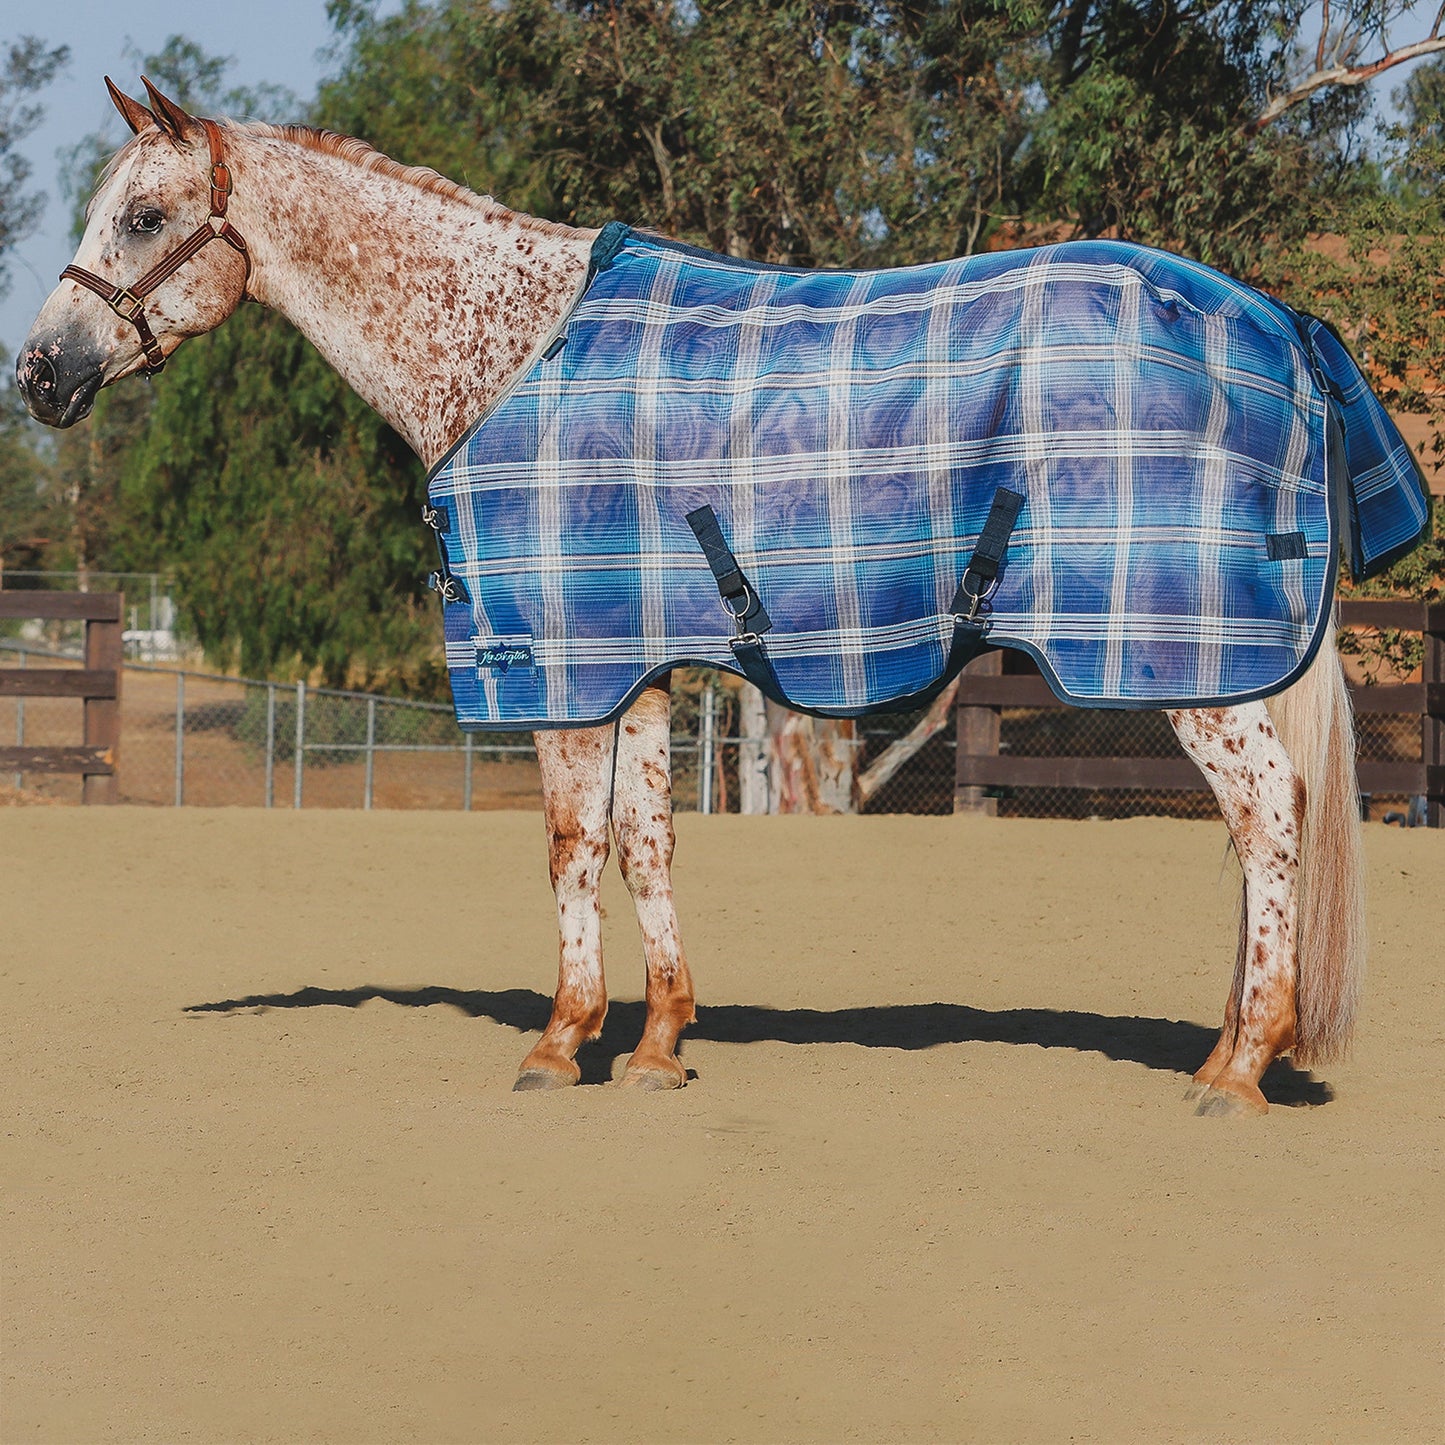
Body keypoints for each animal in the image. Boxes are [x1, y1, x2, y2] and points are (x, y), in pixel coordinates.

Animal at [18, 79, 1386, 1117]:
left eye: (144, 213)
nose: (38, 373)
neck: (505, 349)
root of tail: (1276, 321)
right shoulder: (636, 664)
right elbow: (645, 839)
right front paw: (658, 1042)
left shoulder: (557, 662)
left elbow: (571, 845)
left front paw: (559, 1040)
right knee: (1253, 829)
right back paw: (1222, 1045)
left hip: (1186, 661)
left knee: (1267, 814)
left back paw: (1239, 1069)